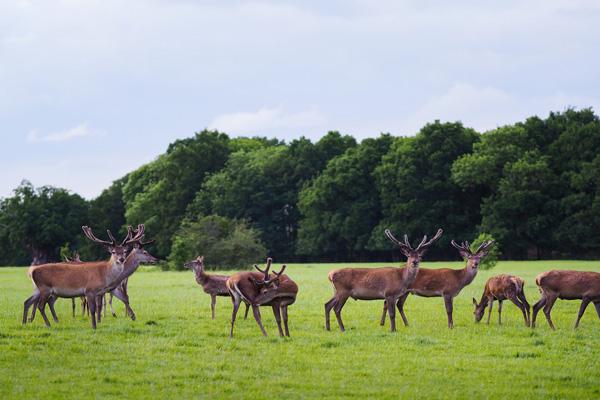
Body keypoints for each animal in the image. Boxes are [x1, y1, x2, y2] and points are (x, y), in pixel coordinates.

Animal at [23, 223, 156, 330]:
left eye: (124, 251)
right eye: (113, 252)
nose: (121, 259)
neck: (106, 275)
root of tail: (32, 271)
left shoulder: (104, 290)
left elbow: (121, 299)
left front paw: (132, 316)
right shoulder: (90, 290)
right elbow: (94, 308)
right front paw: (95, 325)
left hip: (40, 289)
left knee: (28, 301)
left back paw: (25, 322)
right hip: (46, 288)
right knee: (41, 305)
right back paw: (48, 323)